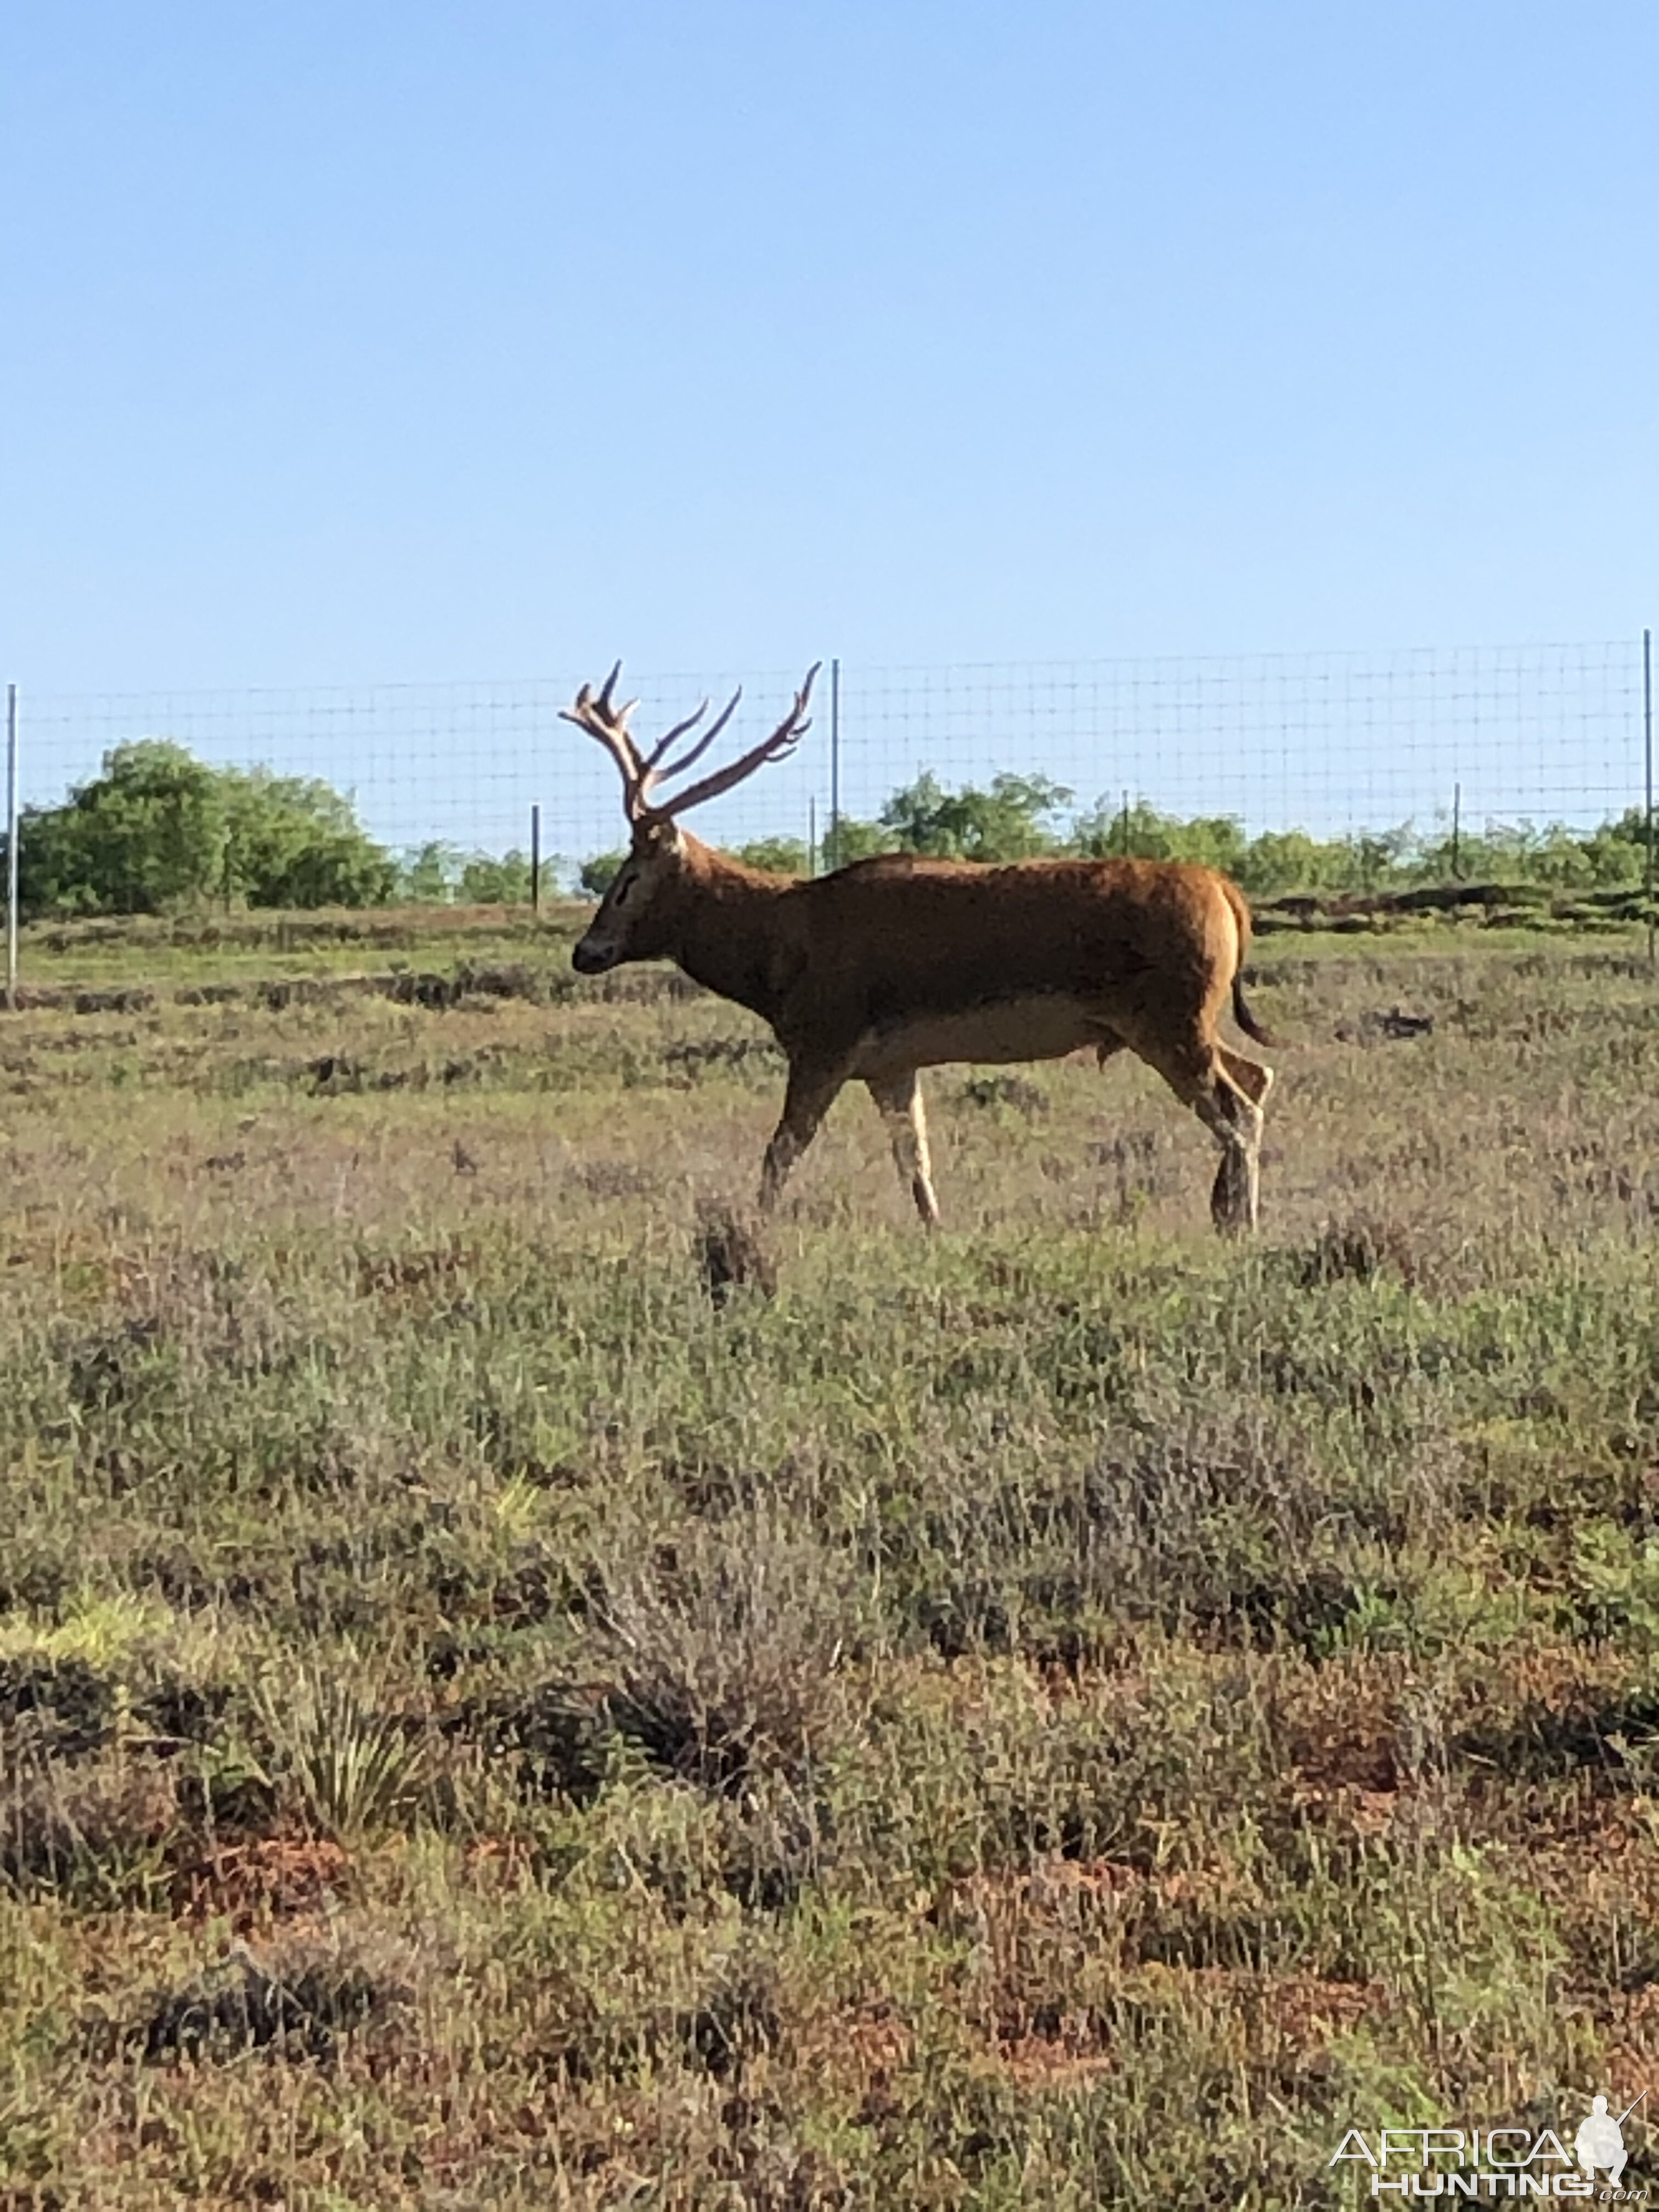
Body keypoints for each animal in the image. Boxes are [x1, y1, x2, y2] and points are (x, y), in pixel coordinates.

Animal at [566, 663, 1283, 1238]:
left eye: (628, 880)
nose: (585, 951)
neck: (779, 958)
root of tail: (1227, 893)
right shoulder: (889, 1063)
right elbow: (914, 1157)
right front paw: (936, 1233)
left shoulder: (826, 1038)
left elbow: (782, 1150)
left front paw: (749, 1231)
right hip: (1184, 1018)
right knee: (1257, 1076)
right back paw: (1225, 1212)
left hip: (1168, 1015)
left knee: (1237, 1109)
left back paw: (1243, 1225)